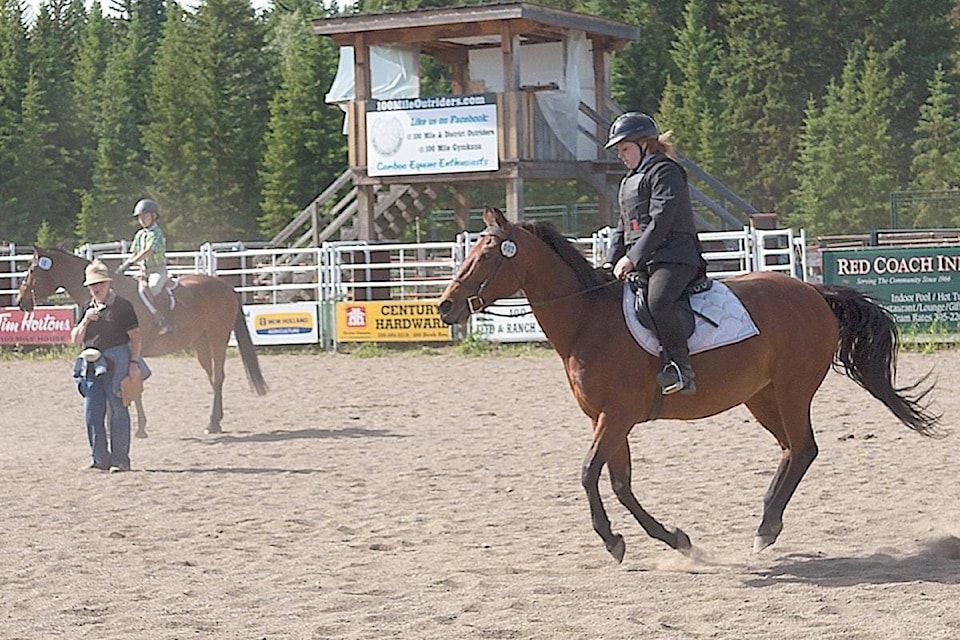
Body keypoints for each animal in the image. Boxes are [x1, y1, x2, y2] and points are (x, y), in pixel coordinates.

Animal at [18, 245, 266, 436]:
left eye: (31, 269)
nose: (21, 301)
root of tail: (226, 287)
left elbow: (131, 386)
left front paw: (139, 428)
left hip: (217, 337)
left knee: (219, 377)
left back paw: (212, 423)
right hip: (201, 343)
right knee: (213, 376)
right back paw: (216, 422)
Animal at [436, 208, 936, 564]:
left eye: (484, 256)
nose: (445, 307)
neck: (587, 320)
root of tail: (813, 292)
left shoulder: (616, 415)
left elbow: (588, 474)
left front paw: (612, 539)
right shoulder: (608, 419)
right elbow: (619, 482)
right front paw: (674, 539)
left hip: (792, 390)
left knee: (804, 448)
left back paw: (764, 529)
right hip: (760, 397)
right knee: (793, 450)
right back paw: (765, 524)